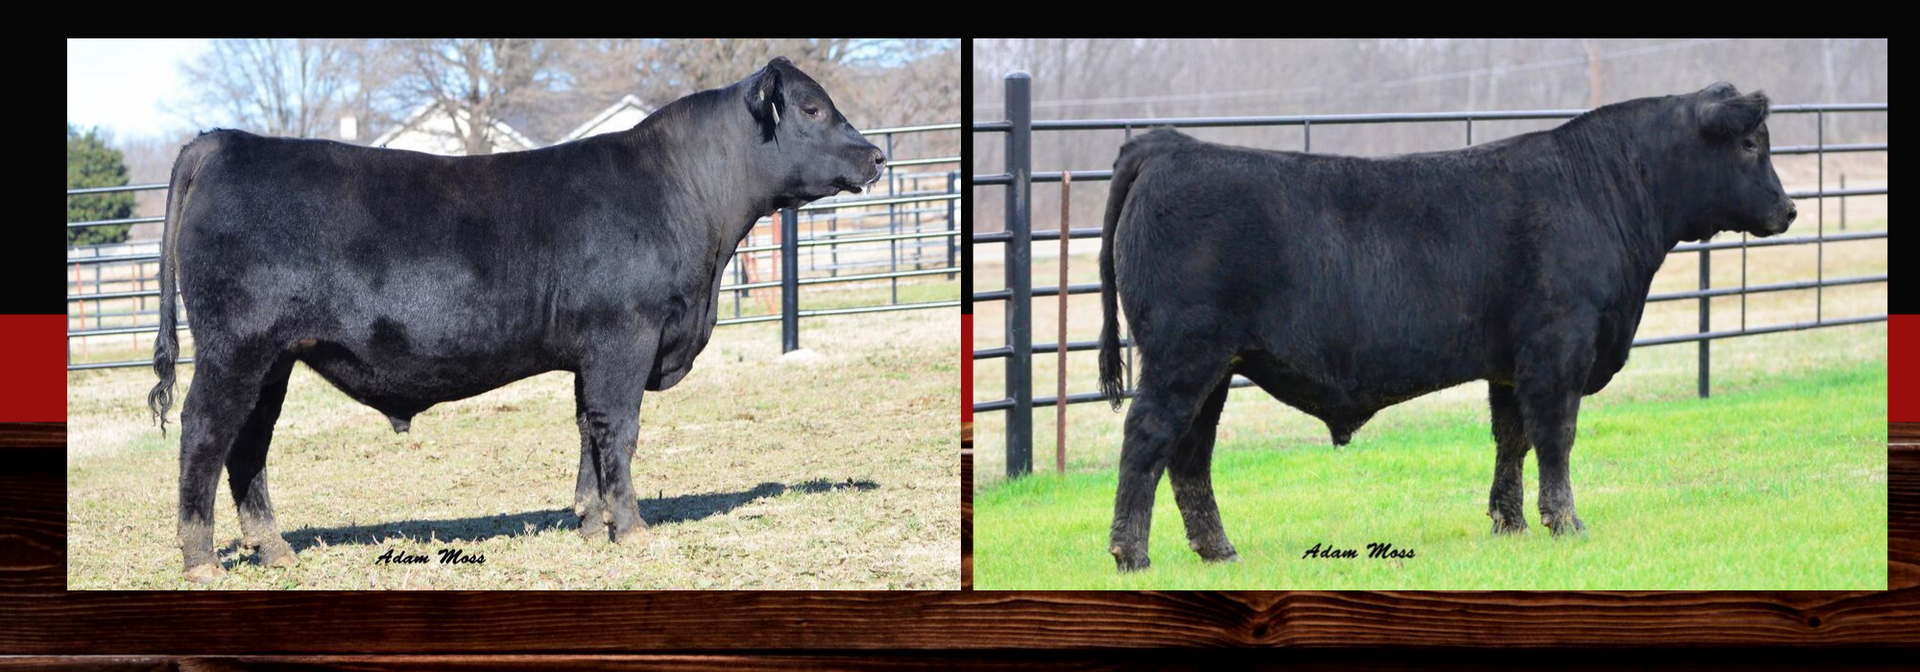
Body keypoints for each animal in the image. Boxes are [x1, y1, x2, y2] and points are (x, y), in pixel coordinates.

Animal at [148, 57, 886, 582]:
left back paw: (274, 549)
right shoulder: (627, 337)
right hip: (235, 349)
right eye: (813, 108)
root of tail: (224, 143)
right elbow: (620, 431)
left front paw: (590, 523)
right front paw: (633, 530)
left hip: (273, 359)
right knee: (205, 431)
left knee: (249, 444)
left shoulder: (592, 352)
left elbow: (590, 431)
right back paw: (201, 559)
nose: (878, 156)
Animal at [1096, 83, 1795, 572]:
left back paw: (1219, 552)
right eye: (1750, 145)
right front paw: (1566, 523)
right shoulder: (1557, 348)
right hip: (1183, 357)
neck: (1602, 191)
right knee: (1148, 439)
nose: (1788, 209)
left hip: (1214, 366)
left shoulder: (1511, 364)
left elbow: (1512, 440)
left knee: (1190, 456)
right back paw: (1133, 555)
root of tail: (1173, 145)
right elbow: (1556, 438)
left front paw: (1510, 523)